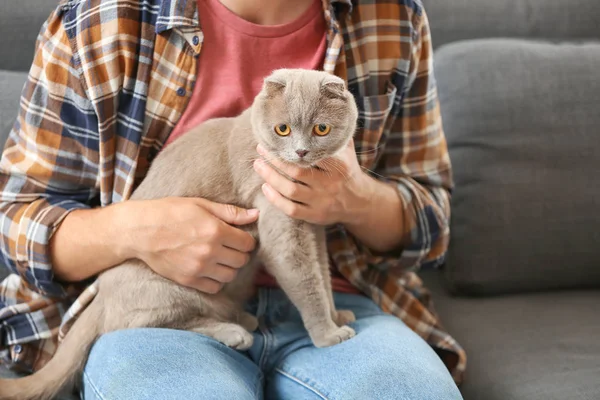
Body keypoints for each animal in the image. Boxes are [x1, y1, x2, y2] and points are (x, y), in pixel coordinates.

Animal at [0, 69, 358, 400]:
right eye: (282, 129)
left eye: (321, 129)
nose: (301, 152)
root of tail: (101, 295)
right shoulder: (283, 234)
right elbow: (307, 286)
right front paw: (327, 335)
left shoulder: (312, 229)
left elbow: (323, 279)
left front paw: (338, 316)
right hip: (168, 291)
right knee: (147, 323)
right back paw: (236, 332)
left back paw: (243, 318)